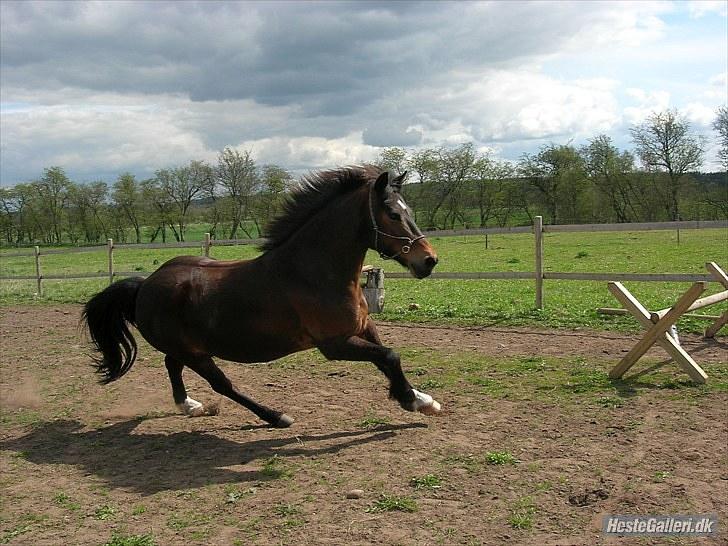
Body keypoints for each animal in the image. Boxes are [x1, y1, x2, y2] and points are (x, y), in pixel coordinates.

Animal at [82, 166, 440, 424]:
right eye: (393, 214)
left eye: (409, 210)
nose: (429, 260)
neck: (312, 273)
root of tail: (145, 285)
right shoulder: (334, 344)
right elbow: (389, 356)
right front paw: (414, 401)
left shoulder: (362, 327)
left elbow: (388, 356)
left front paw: (419, 398)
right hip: (197, 354)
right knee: (221, 384)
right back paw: (275, 416)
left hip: (188, 347)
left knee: (172, 364)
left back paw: (190, 406)